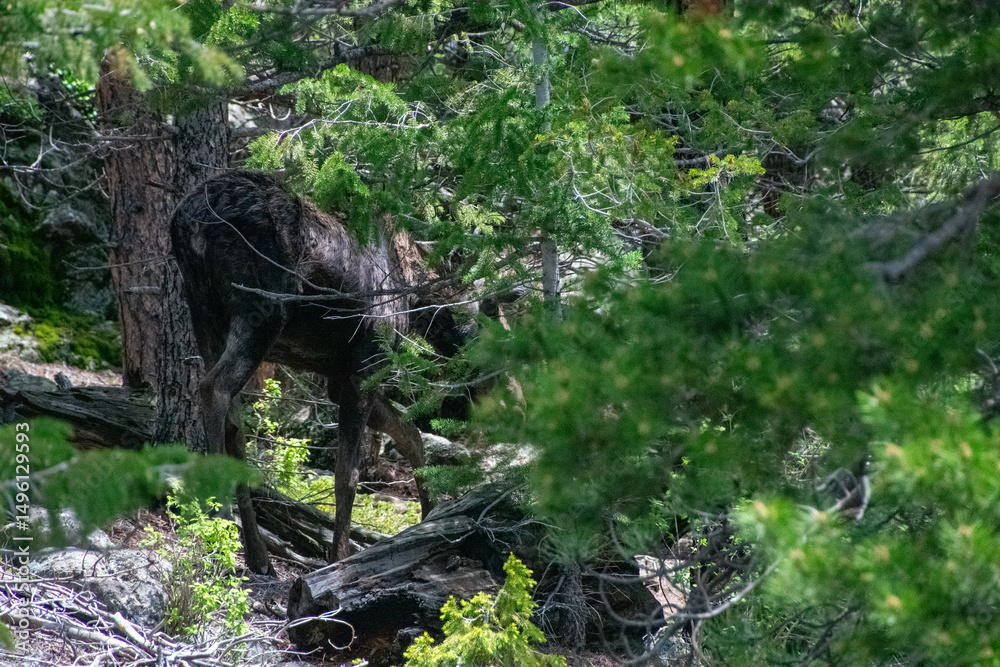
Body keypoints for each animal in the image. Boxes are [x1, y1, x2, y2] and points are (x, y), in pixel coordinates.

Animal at [170, 170, 433, 575]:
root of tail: (185, 222)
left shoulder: (342, 378)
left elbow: (410, 433)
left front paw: (433, 511)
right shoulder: (363, 368)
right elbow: (347, 475)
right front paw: (339, 558)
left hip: (203, 311)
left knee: (234, 420)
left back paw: (257, 553)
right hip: (261, 309)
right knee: (214, 389)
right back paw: (222, 527)